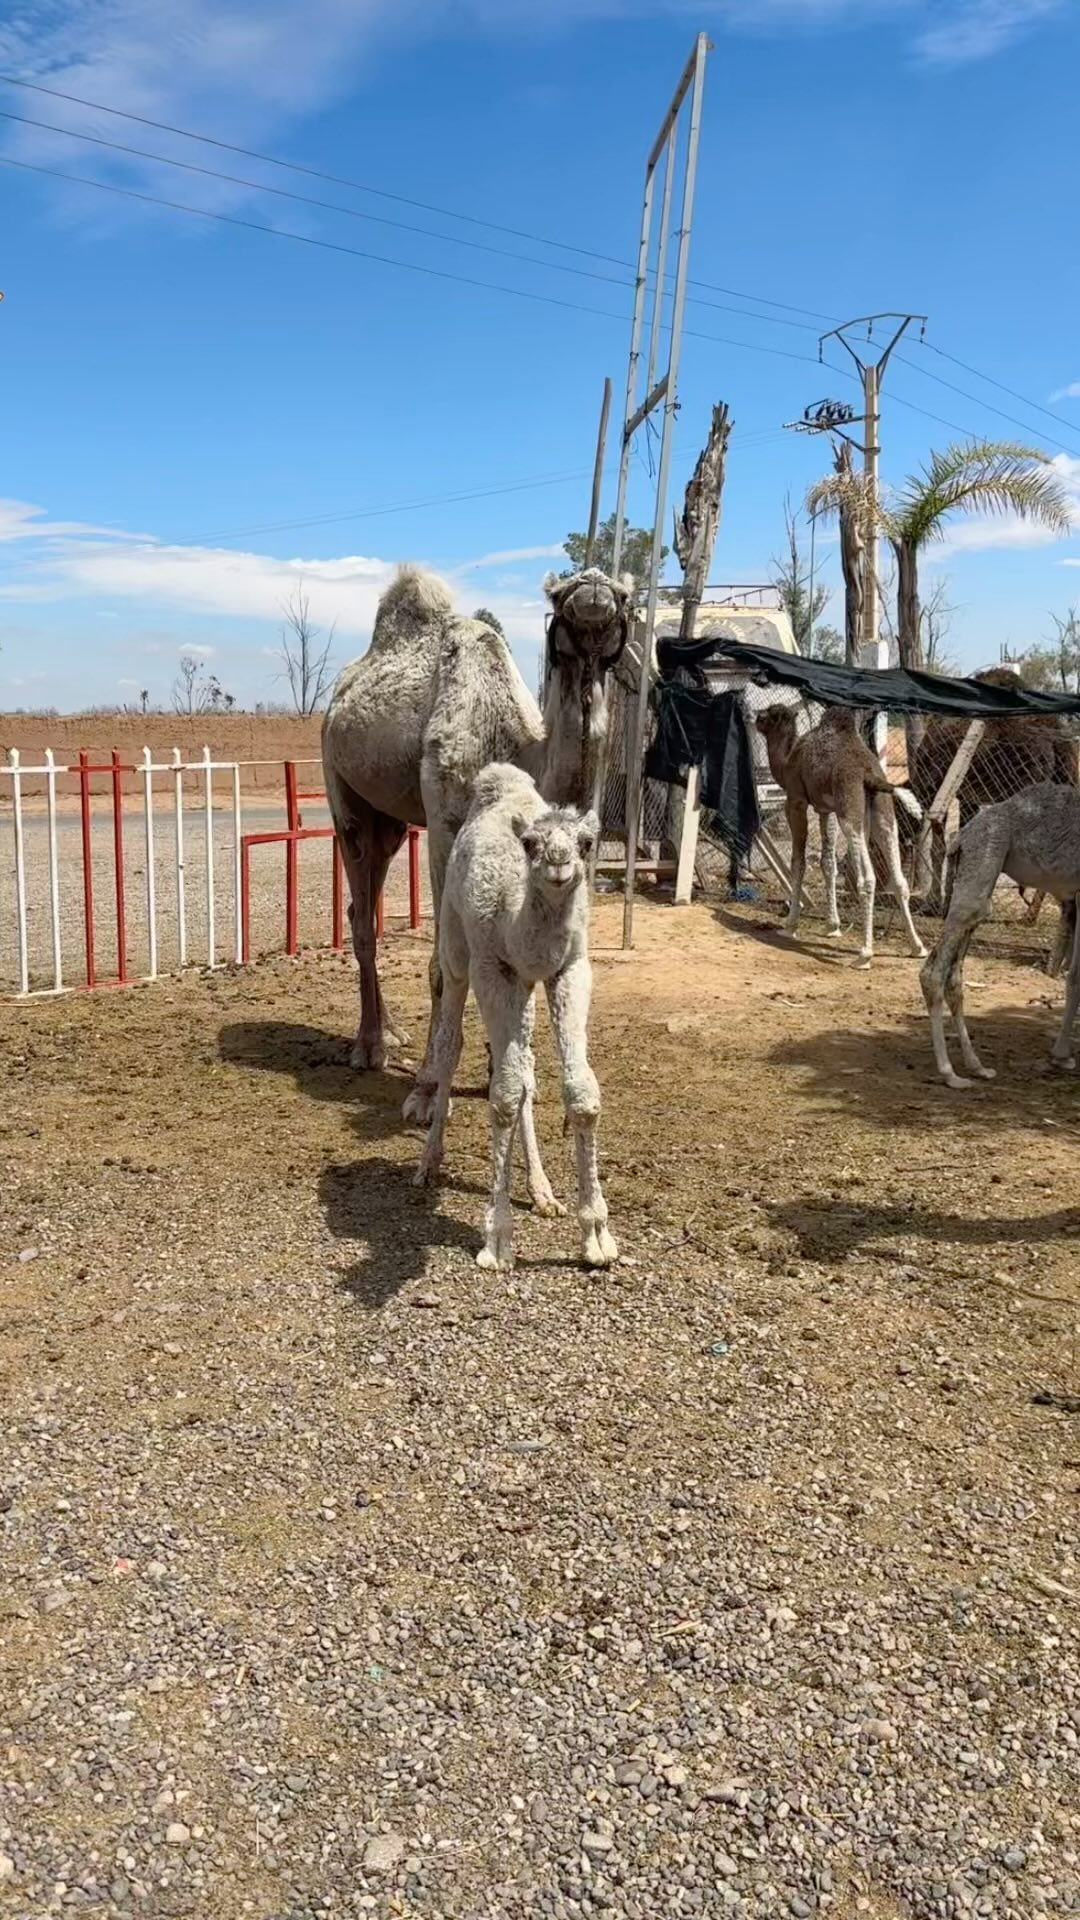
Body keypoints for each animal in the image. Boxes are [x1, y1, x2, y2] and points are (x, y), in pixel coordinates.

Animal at [321, 564, 632, 1125]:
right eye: (558, 593)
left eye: (625, 596)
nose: (592, 590)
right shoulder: (445, 820)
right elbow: (444, 964)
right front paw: (427, 1091)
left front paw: (502, 1071)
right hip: (343, 792)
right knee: (361, 914)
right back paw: (370, 1047)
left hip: (391, 822)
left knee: (366, 903)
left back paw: (391, 1032)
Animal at [415, 763, 616, 1272]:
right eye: (530, 844)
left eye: (587, 842)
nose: (560, 864)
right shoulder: (493, 970)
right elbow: (502, 1094)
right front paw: (497, 1240)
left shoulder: (569, 969)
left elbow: (580, 1092)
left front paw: (596, 1235)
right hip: (456, 952)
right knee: (450, 1045)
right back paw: (428, 1163)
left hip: (524, 992)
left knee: (525, 1066)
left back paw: (542, 1190)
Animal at [756, 703, 926, 968]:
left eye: (769, 715)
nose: (755, 719)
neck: (787, 762)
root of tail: (870, 774)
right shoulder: (826, 809)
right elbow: (828, 862)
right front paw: (832, 926)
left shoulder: (796, 800)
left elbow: (799, 862)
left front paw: (790, 926)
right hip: (883, 814)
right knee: (899, 879)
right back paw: (917, 946)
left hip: (850, 811)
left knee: (867, 879)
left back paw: (864, 954)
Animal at [920, 783, 1080, 1088]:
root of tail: (964, 835)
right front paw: (1062, 1055)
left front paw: (1062, 1056)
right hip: (986, 856)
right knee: (932, 973)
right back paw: (949, 1073)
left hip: (982, 876)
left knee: (954, 976)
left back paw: (977, 1066)